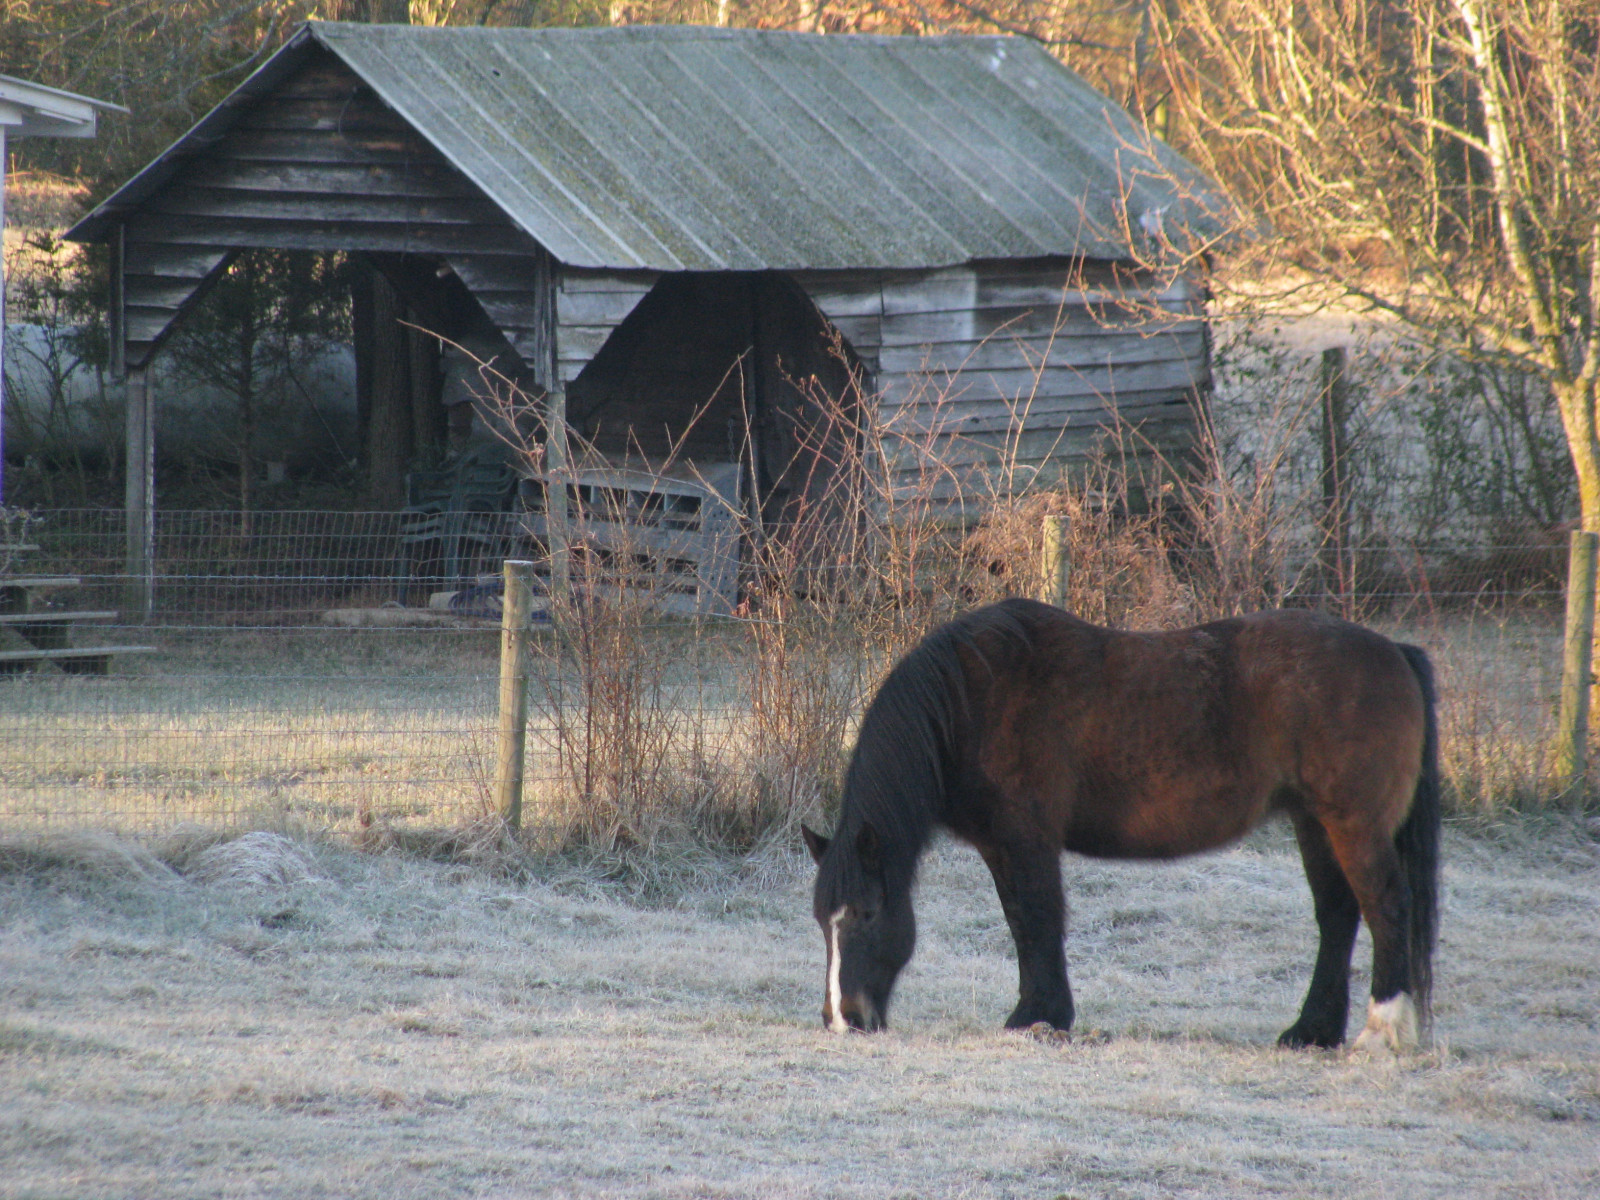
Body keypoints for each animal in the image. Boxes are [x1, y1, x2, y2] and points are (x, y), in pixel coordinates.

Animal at [802, 598, 1440, 1053]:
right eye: (820, 921)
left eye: (865, 914)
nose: (842, 1019)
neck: (971, 701)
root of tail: (1393, 650)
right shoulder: (1002, 844)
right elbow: (1026, 922)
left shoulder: (1023, 839)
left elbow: (1033, 920)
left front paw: (1038, 1017)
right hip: (1314, 822)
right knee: (1338, 916)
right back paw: (1311, 1031)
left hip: (1353, 824)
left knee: (1386, 908)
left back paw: (1381, 1032)